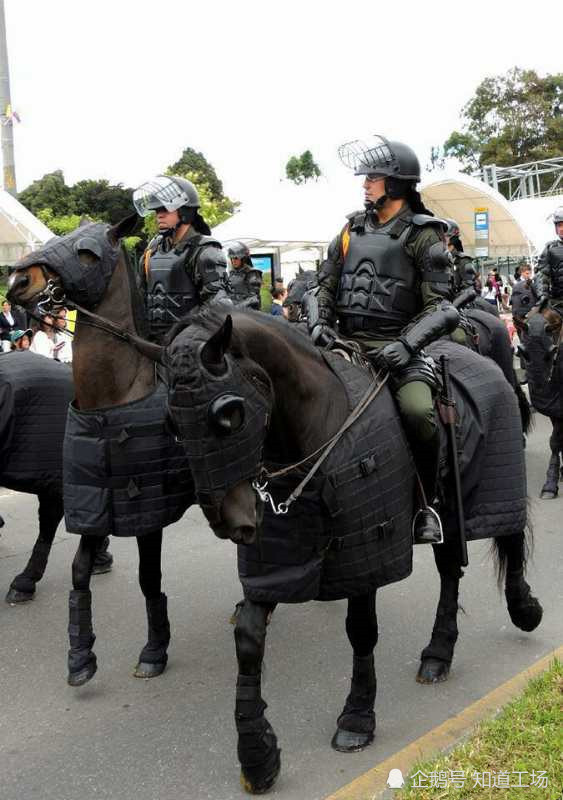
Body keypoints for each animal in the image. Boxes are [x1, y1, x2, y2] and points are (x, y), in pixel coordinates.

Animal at [167, 306, 540, 792]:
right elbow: (248, 638)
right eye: (174, 425)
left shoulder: (366, 554)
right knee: (449, 571)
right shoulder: (277, 564)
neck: (317, 429)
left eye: (229, 416)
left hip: (491, 484)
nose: (232, 521)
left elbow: (361, 631)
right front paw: (257, 755)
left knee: (509, 539)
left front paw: (357, 718)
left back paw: (523, 608)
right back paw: (438, 654)